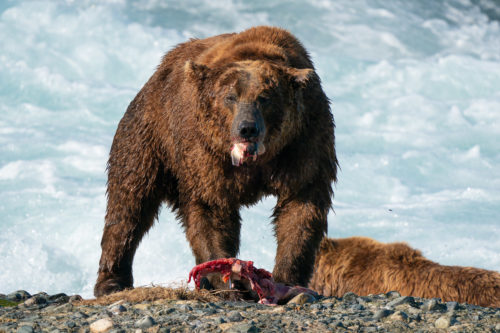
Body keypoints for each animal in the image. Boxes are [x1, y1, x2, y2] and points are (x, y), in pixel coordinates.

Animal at [94, 26, 338, 296]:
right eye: (230, 97)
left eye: (265, 97)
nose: (247, 129)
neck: (258, 160)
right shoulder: (205, 154)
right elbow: (211, 209)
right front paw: (226, 278)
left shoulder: (303, 142)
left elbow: (301, 205)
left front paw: (288, 280)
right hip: (150, 136)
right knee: (130, 203)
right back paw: (112, 281)